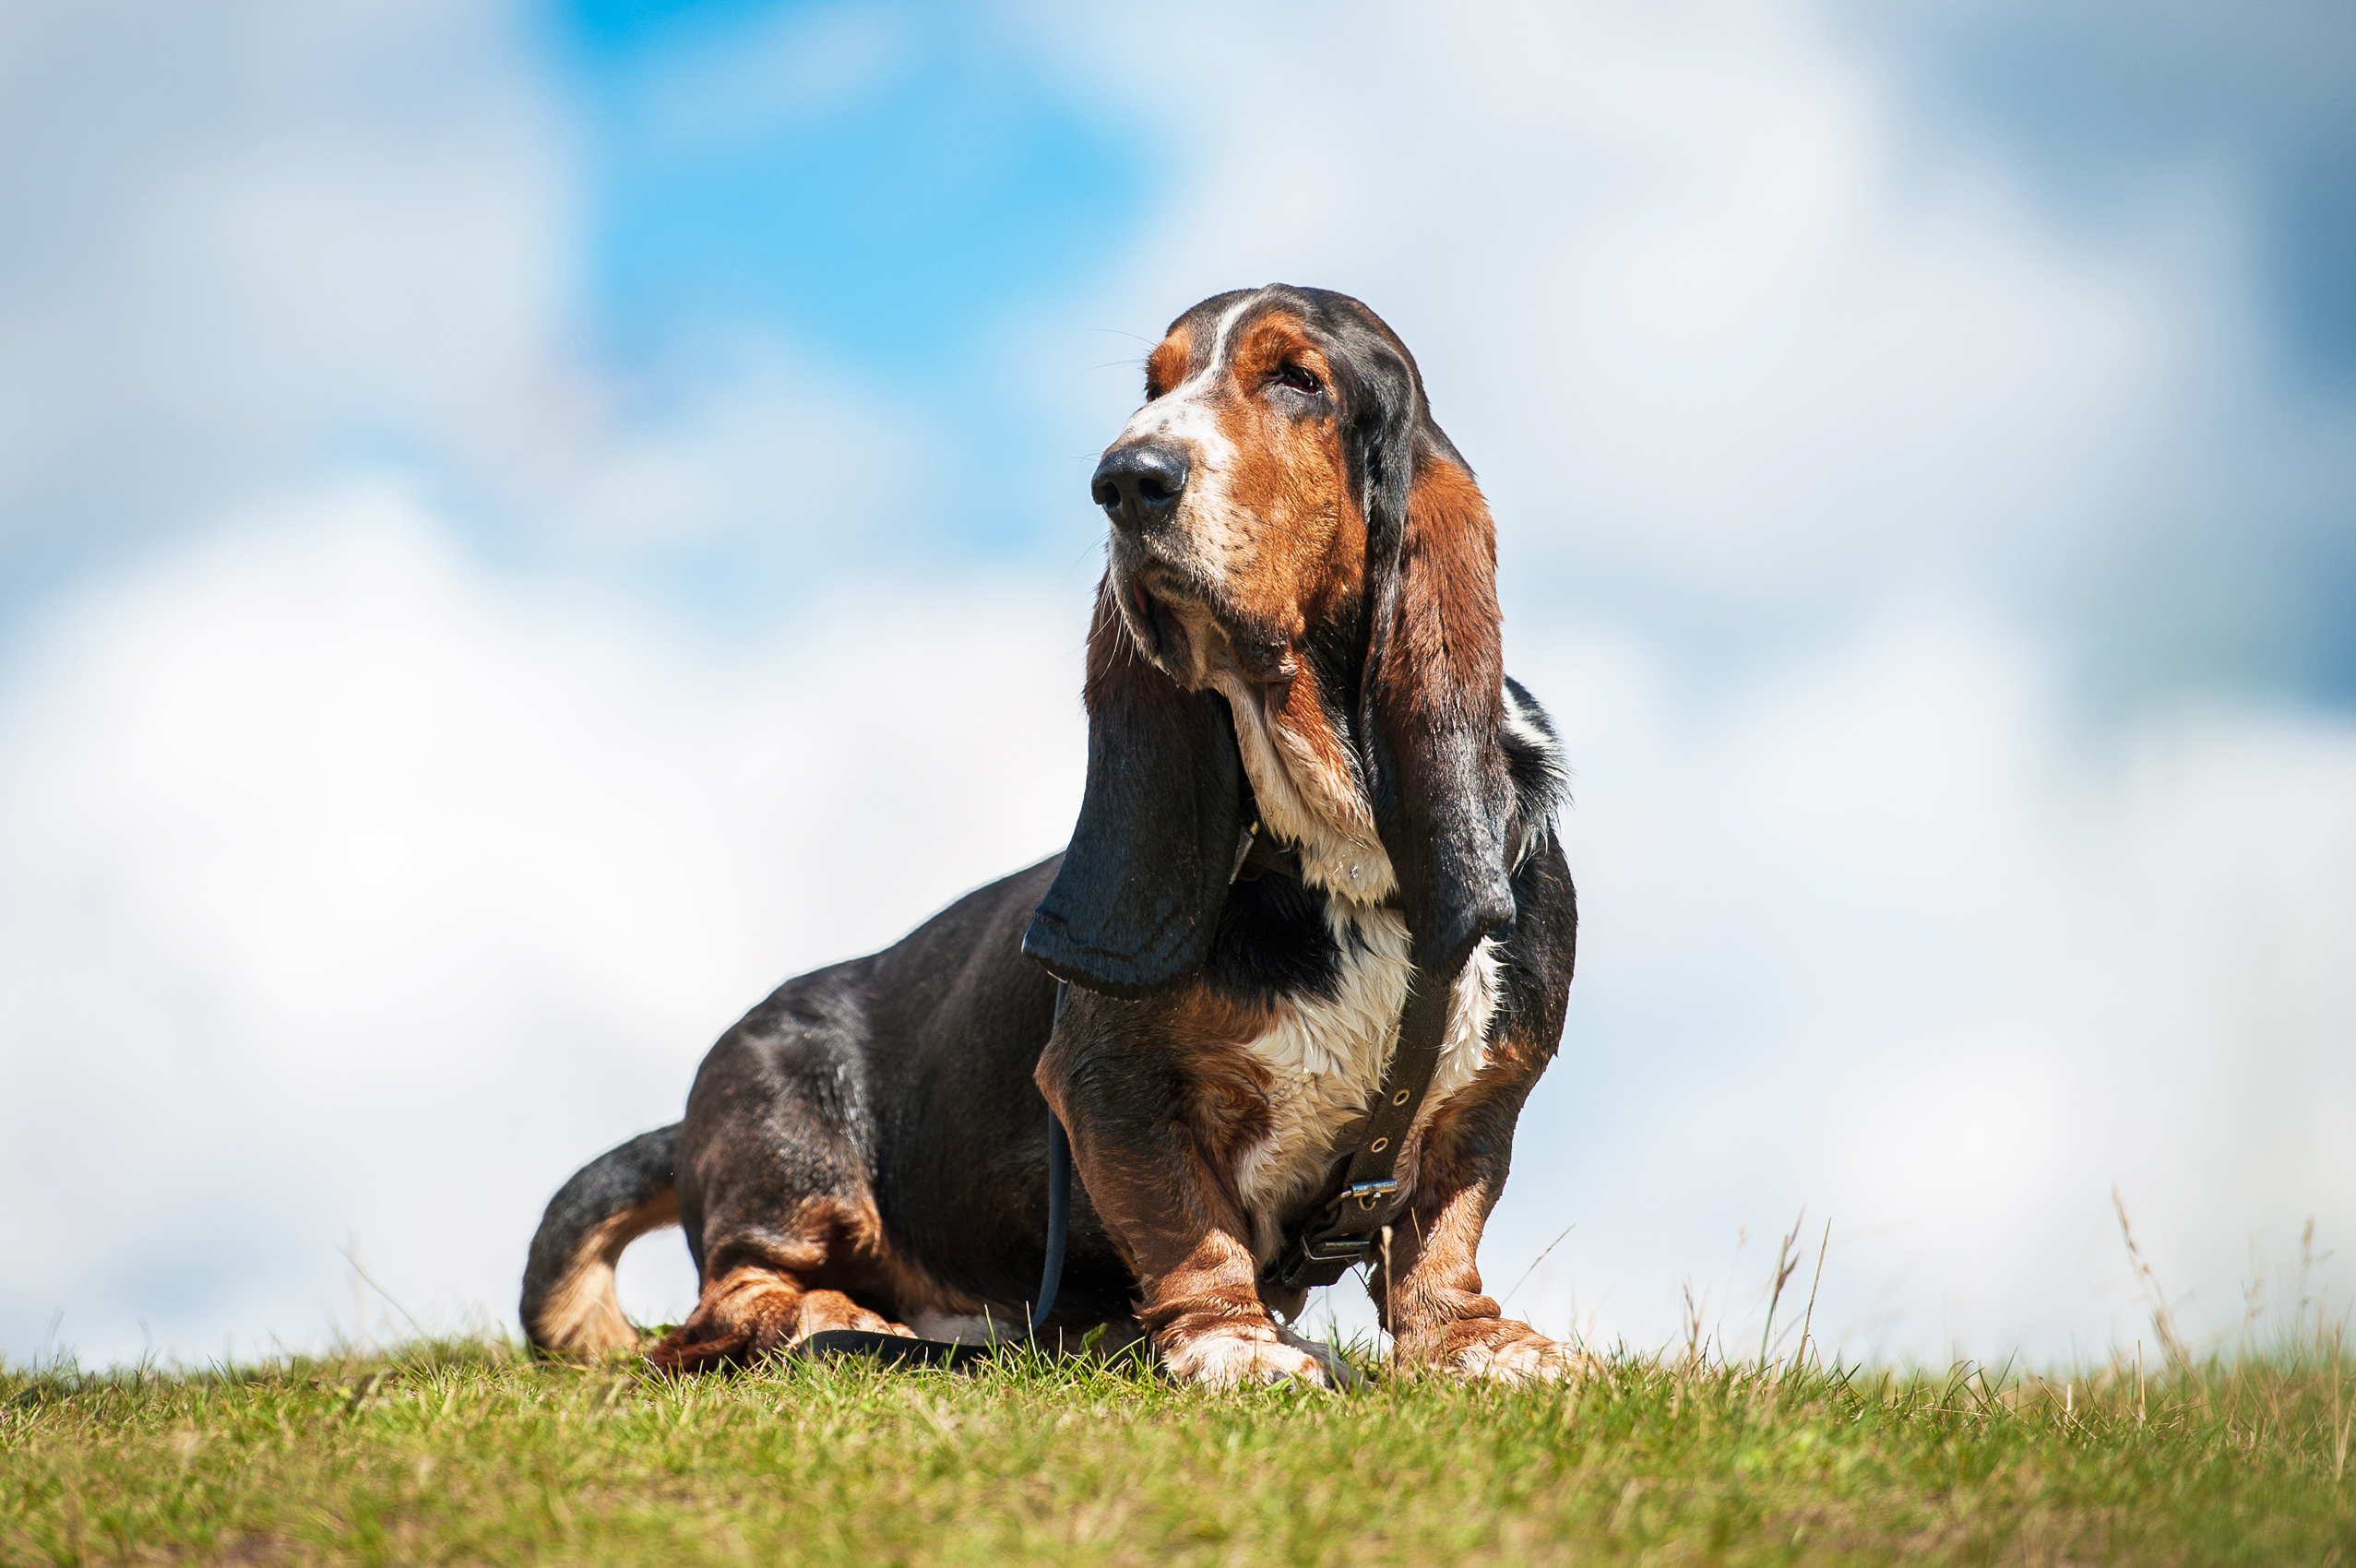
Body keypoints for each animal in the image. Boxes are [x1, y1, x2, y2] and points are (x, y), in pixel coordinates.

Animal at [518, 281, 1583, 1384]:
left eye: (1297, 379)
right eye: (1152, 387)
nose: (1125, 479)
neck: (1331, 852)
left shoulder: (1488, 1093)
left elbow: (1442, 1222)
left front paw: (1476, 1341)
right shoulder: (1108, 1085)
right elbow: (1186, 1220)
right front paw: (1235, 1343)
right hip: (792, 1144)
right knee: (734, 1297)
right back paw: (835, 1318)